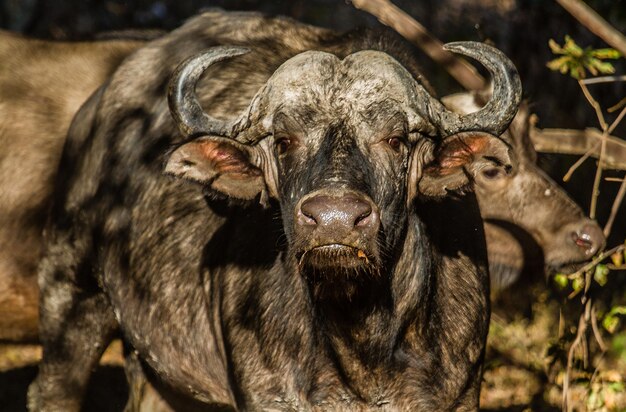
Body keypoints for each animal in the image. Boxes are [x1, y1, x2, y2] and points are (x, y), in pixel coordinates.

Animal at [26, 10, 520, 412]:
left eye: (396, 139)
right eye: (284, 141)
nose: (334, 220)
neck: (362, 339)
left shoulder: (459, 393)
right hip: (71, 295)